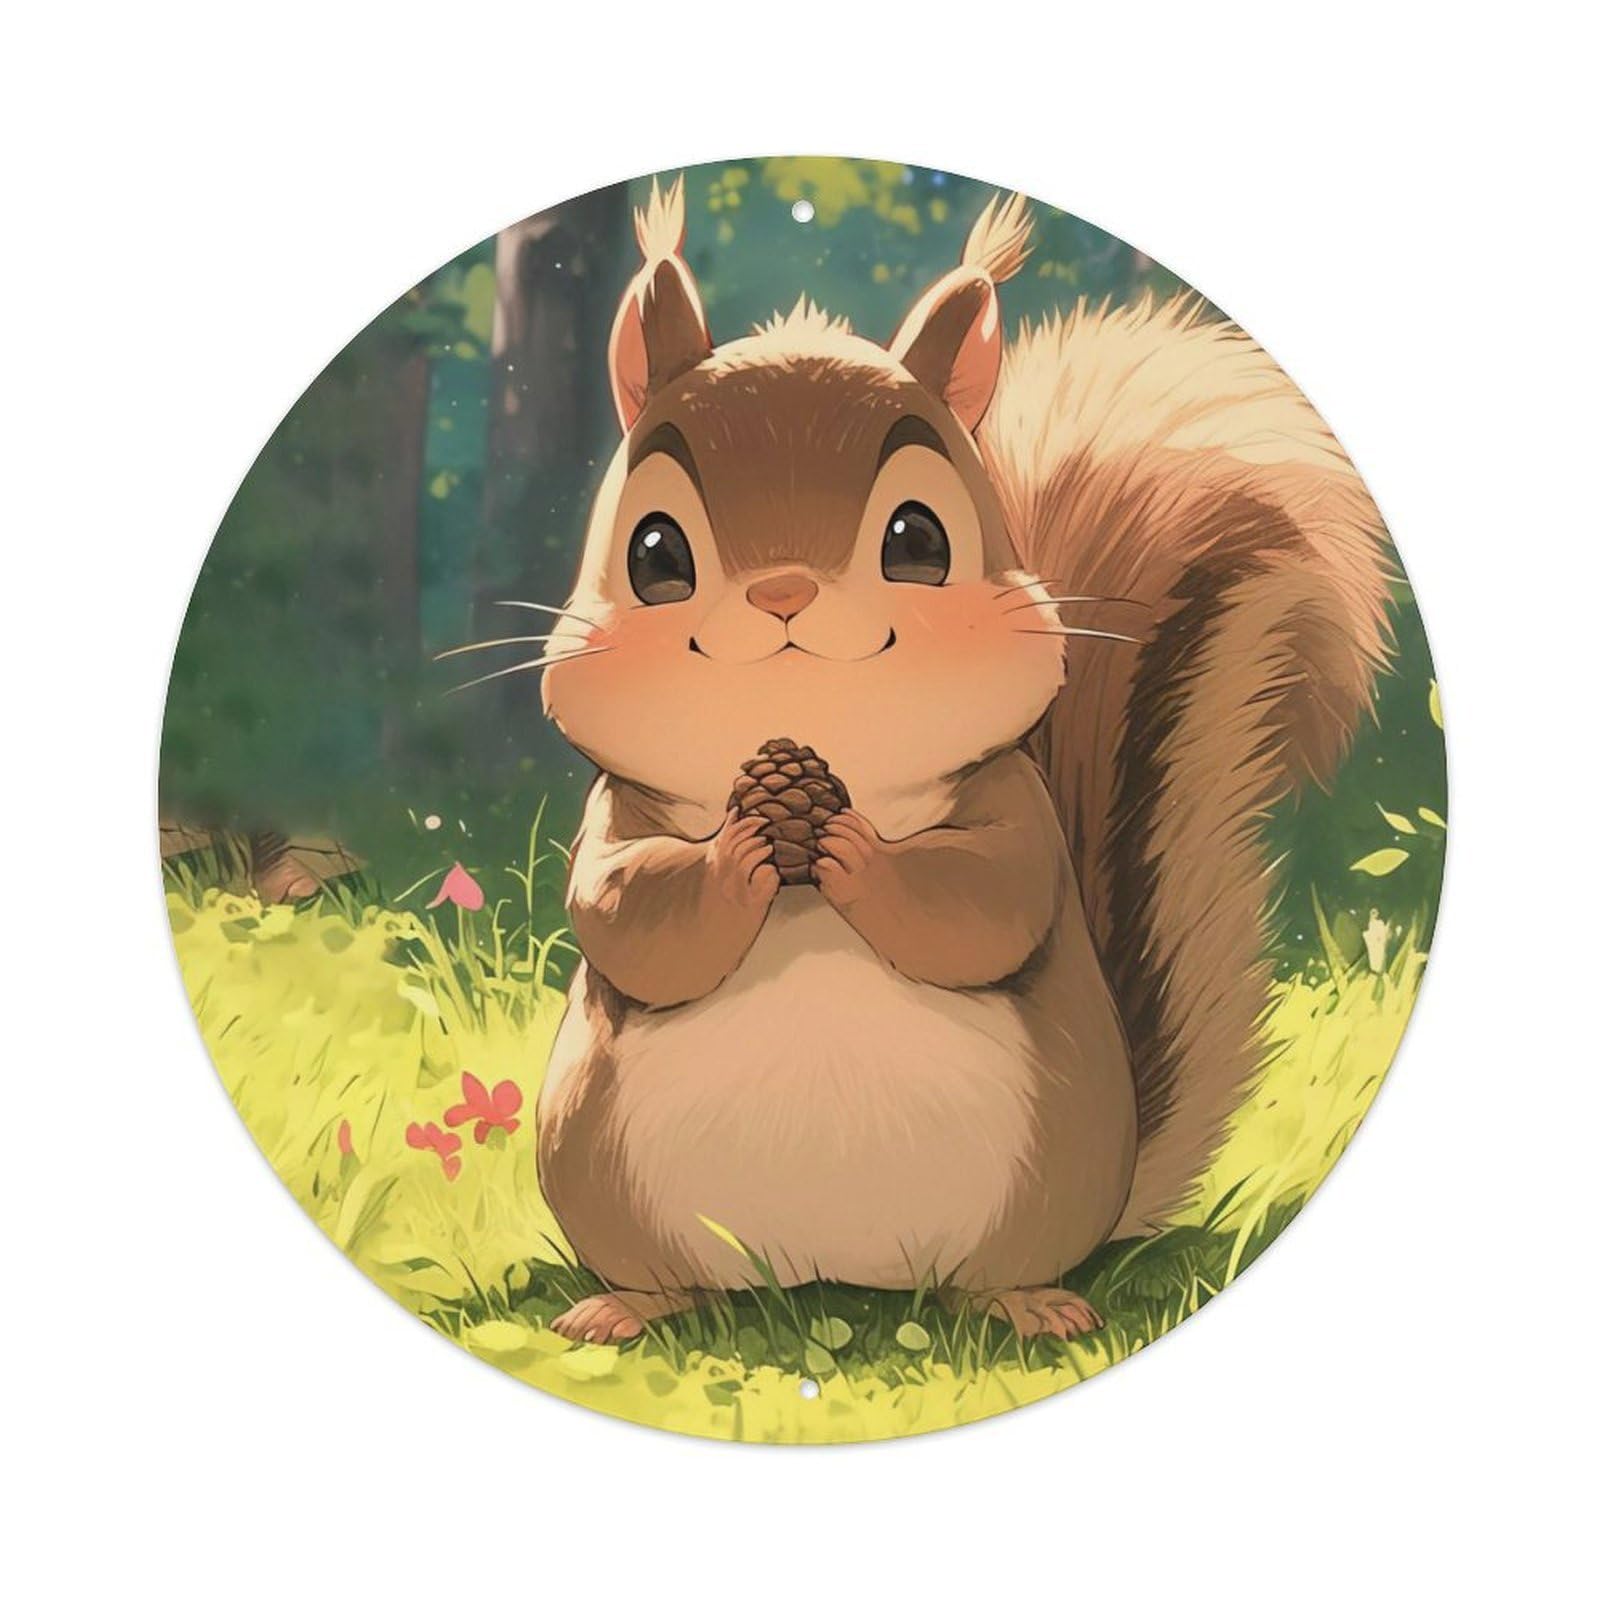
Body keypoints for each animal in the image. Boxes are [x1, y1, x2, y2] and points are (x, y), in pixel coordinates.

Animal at [534, 178, 1391, 1343]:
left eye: (918, 539)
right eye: (655, 552)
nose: (783, 592)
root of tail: (822, 1273)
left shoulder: (1012, 802)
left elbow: (986, 897)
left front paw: (852, 847)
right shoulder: (617, 816)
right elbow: (625, 910)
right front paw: (741, 849)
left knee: (994, 1275)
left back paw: (1034, 1305)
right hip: (594, 1165)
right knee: (670, 1277)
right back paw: (625, 1306)